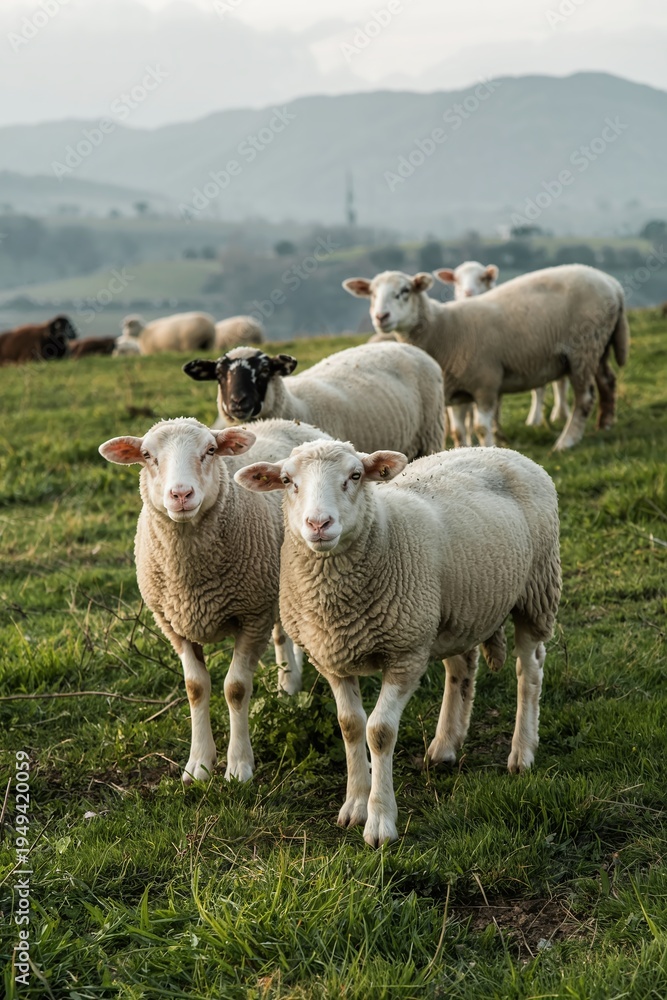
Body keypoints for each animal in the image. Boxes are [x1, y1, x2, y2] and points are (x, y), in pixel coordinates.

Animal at [99, 416, 331, 785]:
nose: (181, 494)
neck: (193, 581)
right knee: (282, 633)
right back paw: (289, 684)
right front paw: (198, 765)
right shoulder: (173, 624)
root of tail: (281, 421)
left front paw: (238, 766)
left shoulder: (252, 616)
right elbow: (195, 687)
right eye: (147, 456)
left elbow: (235, 688)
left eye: (209, 450)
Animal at [183, 341, 445, 460]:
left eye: (265, 370)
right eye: (218, 374)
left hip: (431, 434)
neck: (295, 403)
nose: (238, 402)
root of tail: (405, 344)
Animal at [236, 439, 561, 847]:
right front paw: (354, 805)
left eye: (355, 475)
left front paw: (379, 822)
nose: (319, 524)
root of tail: (497, 448)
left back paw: (522, 752)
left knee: (529, 670)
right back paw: (445, 746)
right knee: (461, 668)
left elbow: (379, 731)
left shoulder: (405, 653)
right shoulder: (331, 657)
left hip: (537, 588)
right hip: (452, 612)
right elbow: (350, 725)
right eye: (286, 480)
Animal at [343, 264, 629, 450]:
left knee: (585, 397)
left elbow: (481, 428)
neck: (443, 328)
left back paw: (566, 441)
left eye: (404, 291)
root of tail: (613, 284)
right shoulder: (456, 390)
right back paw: (605, 424)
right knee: (608, 380)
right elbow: (458, 431)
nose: (381, 317)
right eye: (371, 294)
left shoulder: (485, 383)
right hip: (598, 345)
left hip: (583, 348)